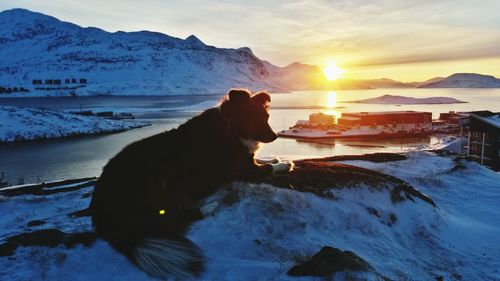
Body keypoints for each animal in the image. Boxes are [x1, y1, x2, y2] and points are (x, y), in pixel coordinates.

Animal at [90, 87, 292, 278]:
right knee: (176, 217)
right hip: (168, 178)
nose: (275, 136)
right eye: (253, 118)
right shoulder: (240, 170)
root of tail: (101, 213)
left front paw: (275, 158)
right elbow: (266, 168)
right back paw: (210, 206)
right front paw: (283, 164)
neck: (230, 127)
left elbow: (261, 160)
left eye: (266, 117)